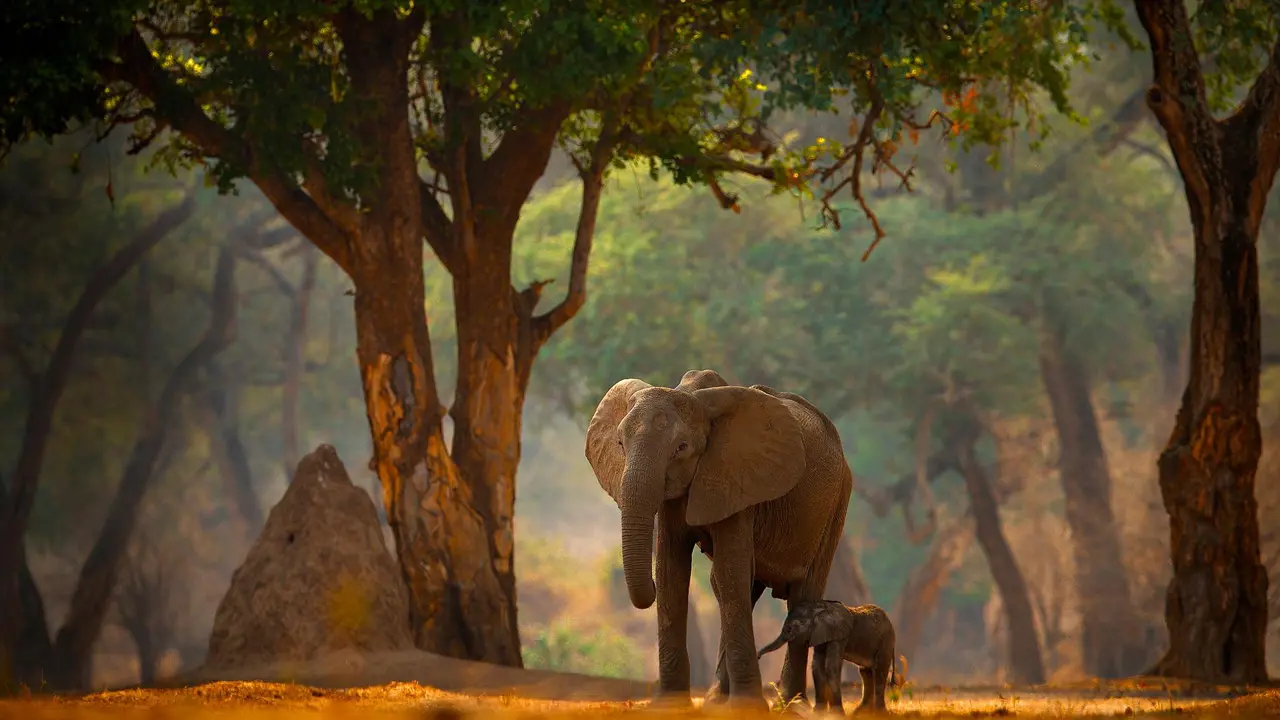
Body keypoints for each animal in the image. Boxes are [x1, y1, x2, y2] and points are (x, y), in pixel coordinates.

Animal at [584, 369, 853, 707]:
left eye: (681, 447)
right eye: (620, 443)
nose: (644, 591)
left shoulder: (737, 479)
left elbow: (728, 572)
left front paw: (747, 707)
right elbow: (673, 570)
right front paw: (670, 705)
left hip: (837, 502)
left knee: (802, 592)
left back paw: (790, 705)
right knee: (740, 588)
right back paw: (717, 700)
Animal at [757, 600, 901, 713]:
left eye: (792, 628)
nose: (758, 656)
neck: (819, 607)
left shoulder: (839, 636)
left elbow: (831, 666)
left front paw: (837, 714)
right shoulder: (819, 633)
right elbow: (817, 666)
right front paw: (818, 713)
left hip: (886, 641)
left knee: (879, 670)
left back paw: (880, 713)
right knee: (866, 672)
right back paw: (861, 713)